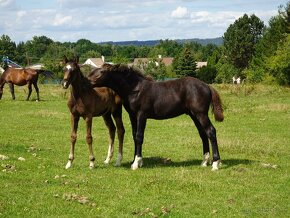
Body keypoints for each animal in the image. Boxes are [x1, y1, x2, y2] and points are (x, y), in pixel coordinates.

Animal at [88, 63, 224, 171]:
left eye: (101, 73)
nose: (87, 82)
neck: (135, 89)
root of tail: (207, 86)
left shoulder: (142, 115)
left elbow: (139, 137)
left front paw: (136, 164)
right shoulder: (133, 116)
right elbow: (134, 136)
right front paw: (136, 161)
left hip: (201, 114)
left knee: (211, 131)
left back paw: (215, 163)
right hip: (194, 115)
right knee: (203, 133)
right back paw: (205, 161)